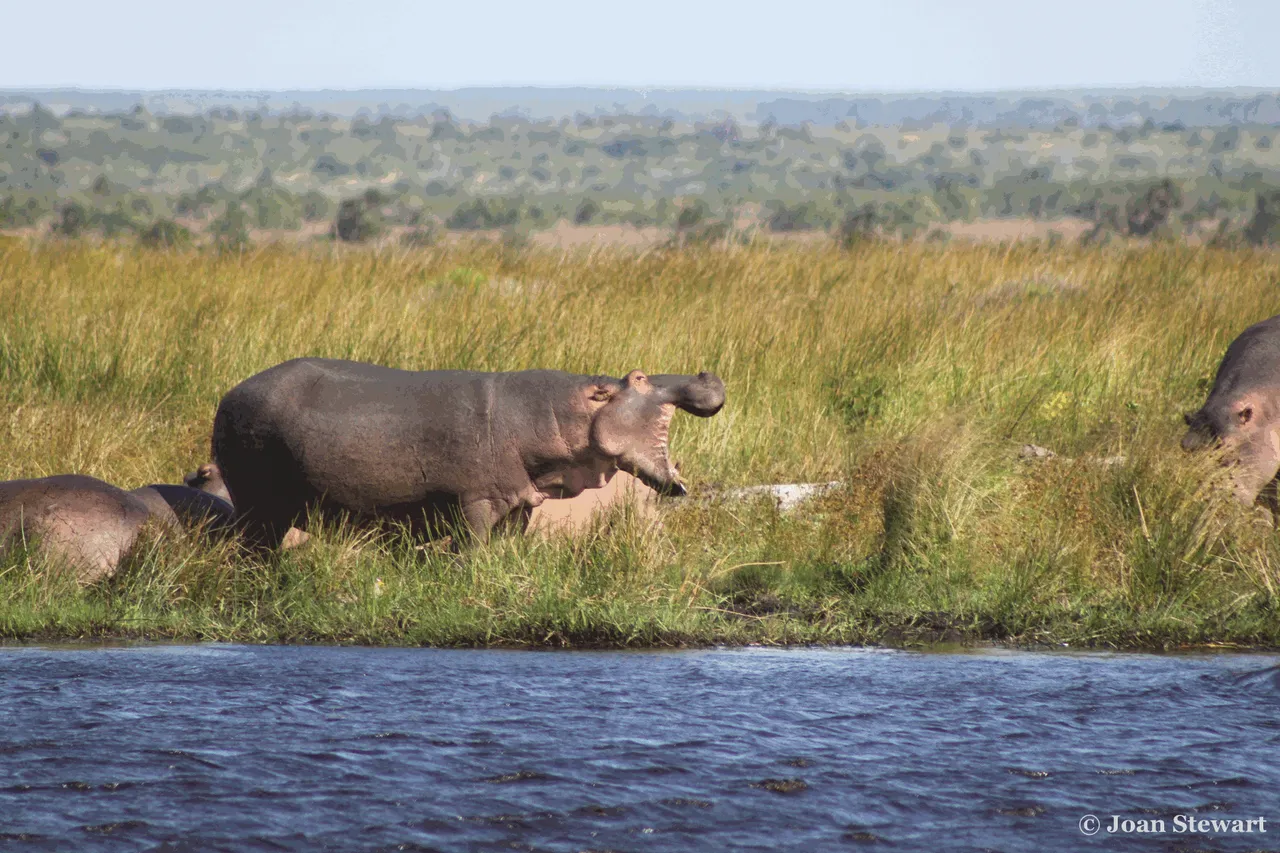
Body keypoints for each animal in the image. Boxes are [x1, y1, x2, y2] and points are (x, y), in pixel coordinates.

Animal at [213, 356, 727, 545]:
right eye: (638, 377)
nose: (705, 373)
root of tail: (229, 393)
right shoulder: (477, 501)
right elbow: (475, 551)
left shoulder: (519, 503)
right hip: (258, 505)